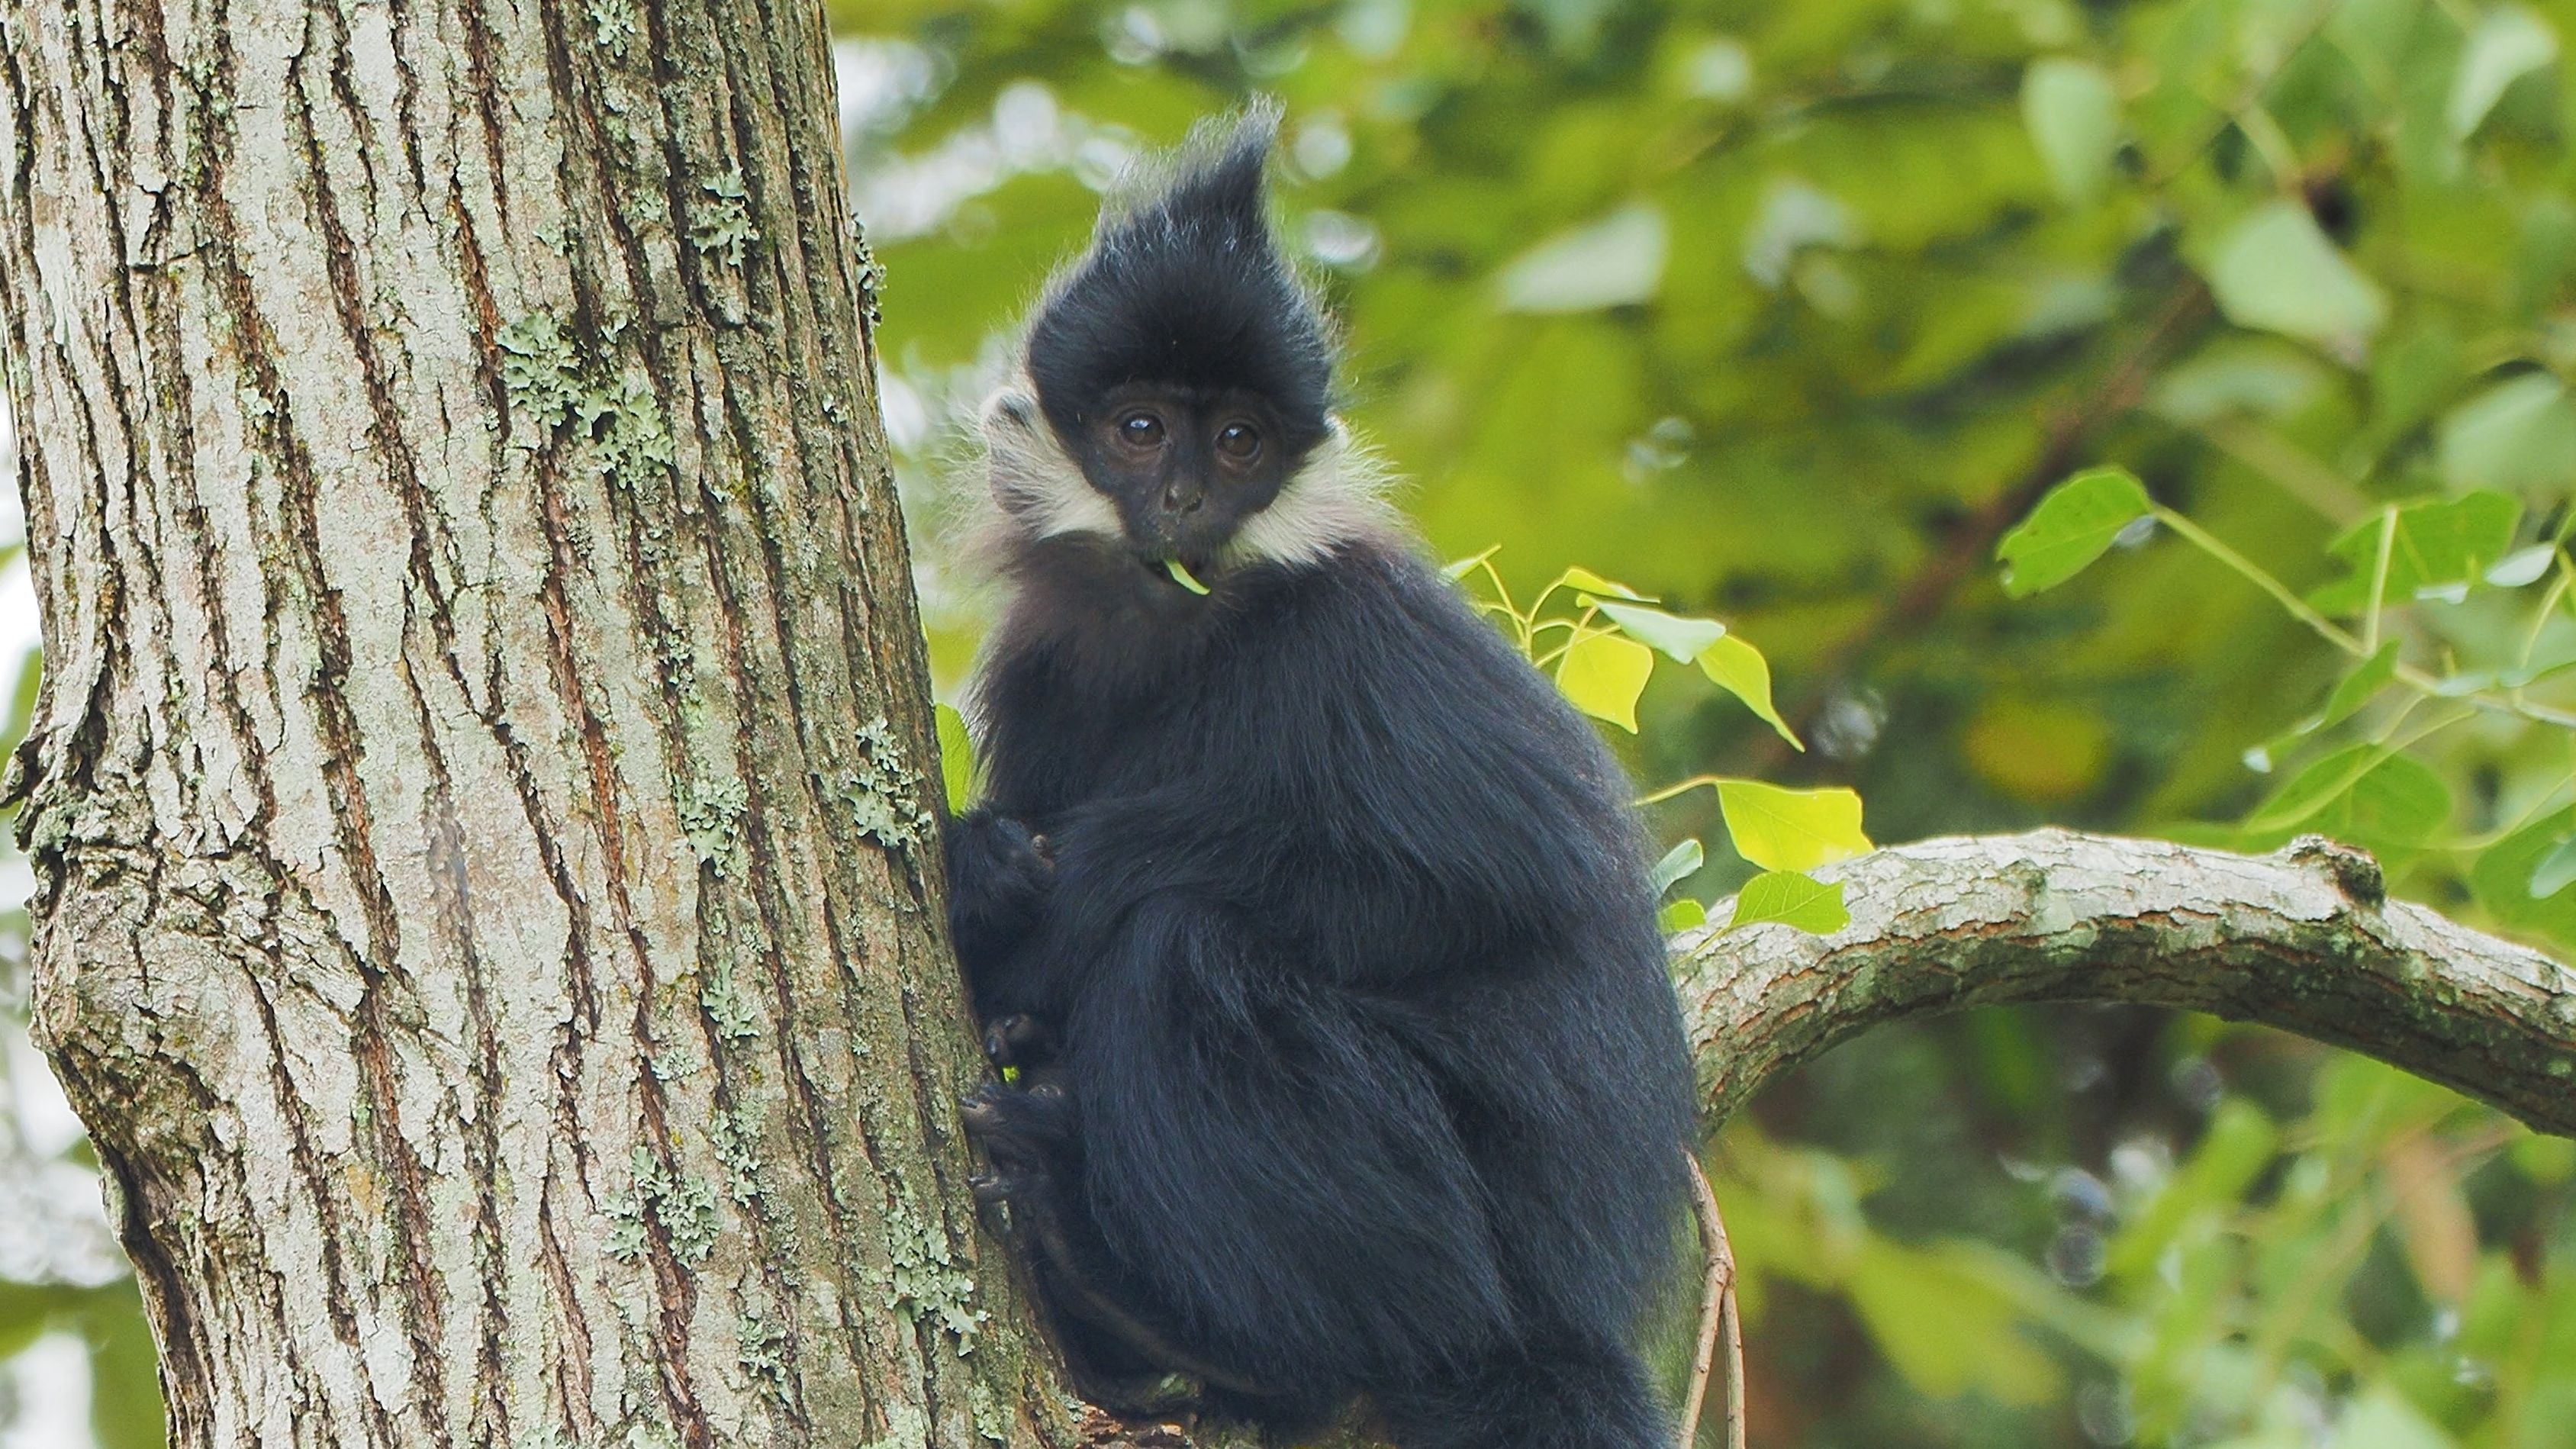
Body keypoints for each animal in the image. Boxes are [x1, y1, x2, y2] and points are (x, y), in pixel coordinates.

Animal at [948, 104, 1689, 1444]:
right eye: (1140, 428)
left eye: (1241, 441)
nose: (1188, 495)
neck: (1183, 634)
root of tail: (1565, 1310)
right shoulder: (1042, 669)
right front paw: (986, 868)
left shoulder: (1363, 630)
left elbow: (1501, 881)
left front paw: (1064, 893)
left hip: (1456, 1213)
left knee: (1183, 950)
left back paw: (1174, 1309)